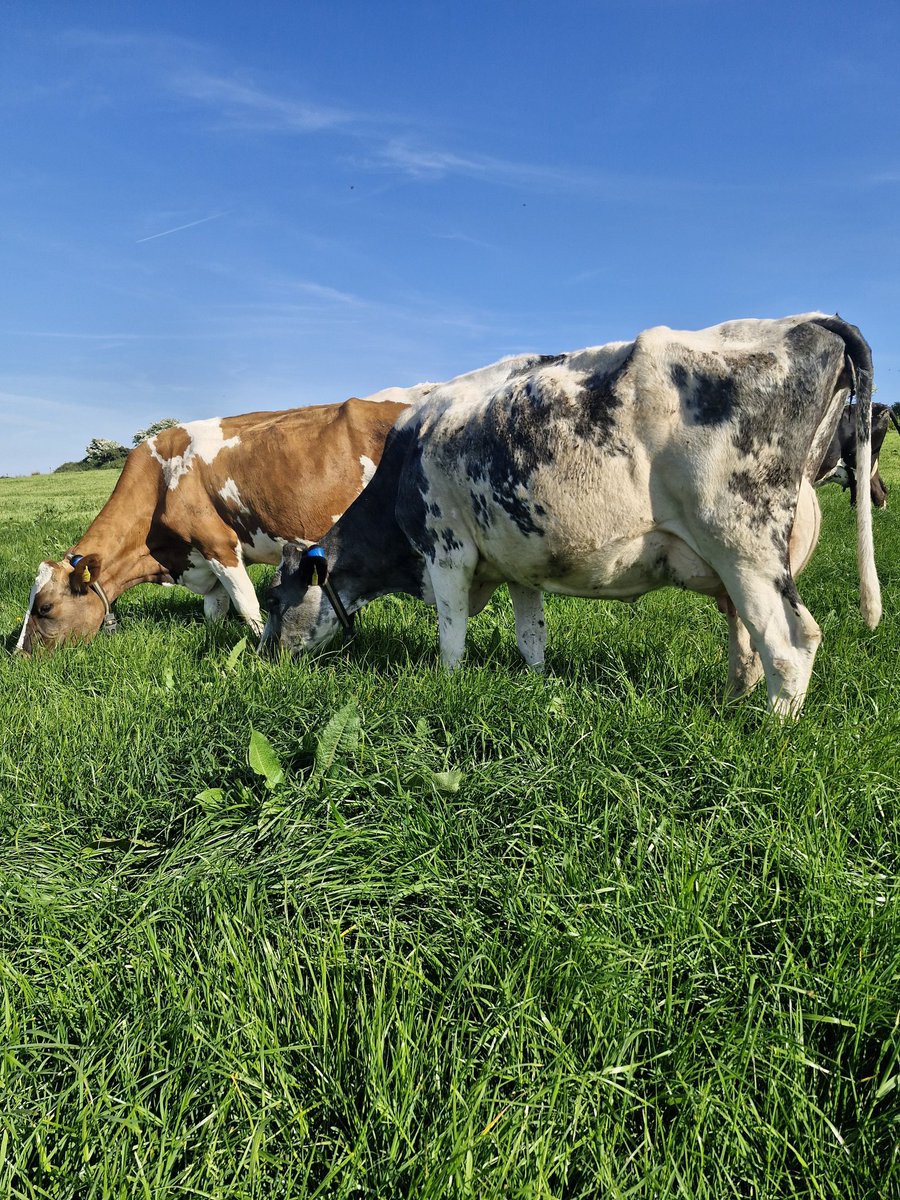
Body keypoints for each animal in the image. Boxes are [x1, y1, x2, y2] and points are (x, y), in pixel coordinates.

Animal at [15, 397, 411, 654]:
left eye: (45, 607)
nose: (18, 656)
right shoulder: (201, 561)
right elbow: (214, 614)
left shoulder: (220, 547)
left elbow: (248, 607)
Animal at [261, 314, 882, 719]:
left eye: (273, 599)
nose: (266, 662)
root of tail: (806, 320)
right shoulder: (517, 561)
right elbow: (530, 635)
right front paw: (534, 684)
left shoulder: (447, 549)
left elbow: (451, 636)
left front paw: (447, 686)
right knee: (748, 643)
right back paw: (730, 703)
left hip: (742, 541)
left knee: (791, 641)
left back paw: (770, 733)